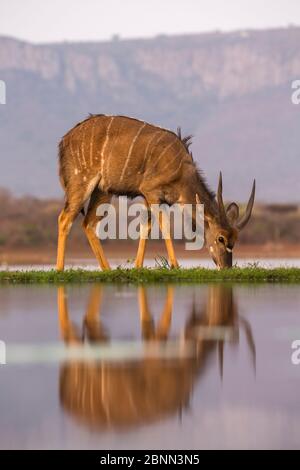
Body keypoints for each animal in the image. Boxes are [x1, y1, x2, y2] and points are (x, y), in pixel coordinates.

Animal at [56, 114, 255, 270]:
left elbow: (146, 226)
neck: (182, 170)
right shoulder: (151, 193)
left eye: (235, 239)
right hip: (82, 182)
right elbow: (164, 225)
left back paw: (108, 270)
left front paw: (138, 266)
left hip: (103, 190)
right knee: (65, 218)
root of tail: (64, 140)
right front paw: (175, 265)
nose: (226, 266)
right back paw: (60, 269)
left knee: (88, 223)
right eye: (221, 238)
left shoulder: (147, 198)